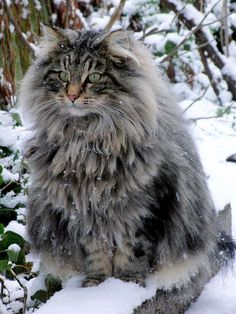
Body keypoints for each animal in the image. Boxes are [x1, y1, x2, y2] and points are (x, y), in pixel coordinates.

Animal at [19, 26, 234, 302]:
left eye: (94, 77)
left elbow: (132, 251)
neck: (87, 142)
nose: (72, 95)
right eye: (63, 75)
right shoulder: (83, 208)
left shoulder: (144, 207)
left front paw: (126, 284)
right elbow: (96, 253)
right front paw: (97, 285)